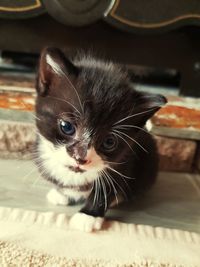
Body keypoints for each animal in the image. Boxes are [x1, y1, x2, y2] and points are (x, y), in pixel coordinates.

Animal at [34, 47, 167, 232]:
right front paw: (62, 193)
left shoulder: (123, 162)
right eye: (66, 126)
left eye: (109, 142)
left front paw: (88, 216)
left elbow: (107, 188)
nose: (80, 158)